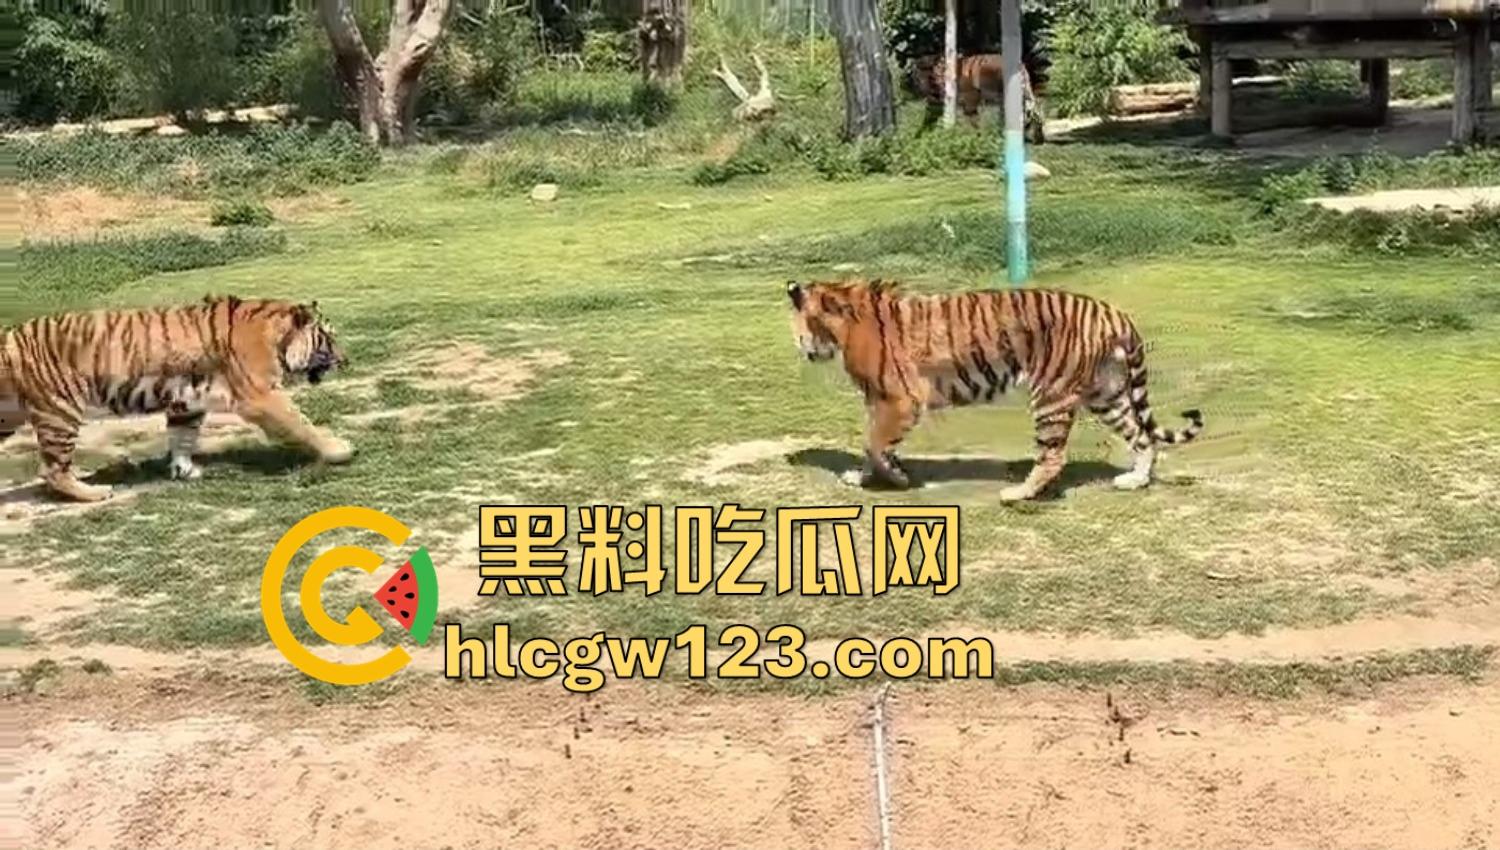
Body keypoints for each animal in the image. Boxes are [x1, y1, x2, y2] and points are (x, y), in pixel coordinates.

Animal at [0, 295, 353, 503]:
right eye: (328, 338)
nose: (346, 360)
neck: (277, 334)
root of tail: (8, 337)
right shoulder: (261, 395)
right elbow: (302, 423)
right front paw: (339, 449)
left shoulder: (187, 400)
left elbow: (182, 437)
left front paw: (184, 470)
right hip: (60, 411)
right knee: (52, 469)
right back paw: (95, 492)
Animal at [785, 279, 1203, 501]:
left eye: (798, 325)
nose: (800, 347)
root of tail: (1114, 313)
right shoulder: (880, 401)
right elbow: (871, 444)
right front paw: (865, 476)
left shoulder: (901, 400)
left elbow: (874, 443)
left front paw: (897, 479)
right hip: (1107, 394)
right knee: (1142, 437)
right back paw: (1135, 480)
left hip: (1052, 395)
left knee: (1053, 456)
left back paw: (1017, 494)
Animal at [905, 53, 1046, 144]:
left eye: (916, 76)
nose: (916, 87)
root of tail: (1020, 65)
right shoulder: (934, 105)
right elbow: (927, 121)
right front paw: (917, 137)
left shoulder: (970, 99)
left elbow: (974, 120)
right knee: (1032, 111)